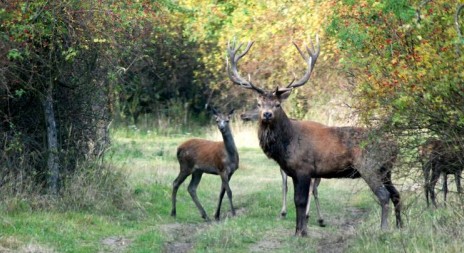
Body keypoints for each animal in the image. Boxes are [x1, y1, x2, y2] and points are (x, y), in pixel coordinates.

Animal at [227, 36, 400, 237]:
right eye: (259, 104)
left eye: (277, 104)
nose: (267, 114)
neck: (286, 144)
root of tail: (395, 145)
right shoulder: (293, 172)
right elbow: (296, 200)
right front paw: (298, 230)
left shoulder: (304, 169)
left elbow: (301, 201)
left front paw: (301, 233)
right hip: (386, 170)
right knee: (396, 194)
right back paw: (400, 227)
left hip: (369, 166)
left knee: (384, 195)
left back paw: (384, 229)